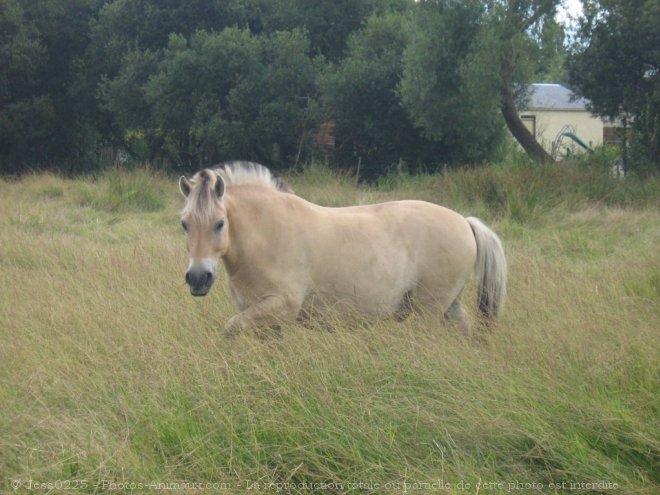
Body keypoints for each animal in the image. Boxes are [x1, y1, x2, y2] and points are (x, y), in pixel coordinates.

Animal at [178, 161, 508, 336]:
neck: (267, 233)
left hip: (429, 311)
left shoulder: (279, 307)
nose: (198, 278)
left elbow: (229, 330)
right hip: (449, 307)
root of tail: (464, 222)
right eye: (184, 224)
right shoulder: (265, 318)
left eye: (220, 223)